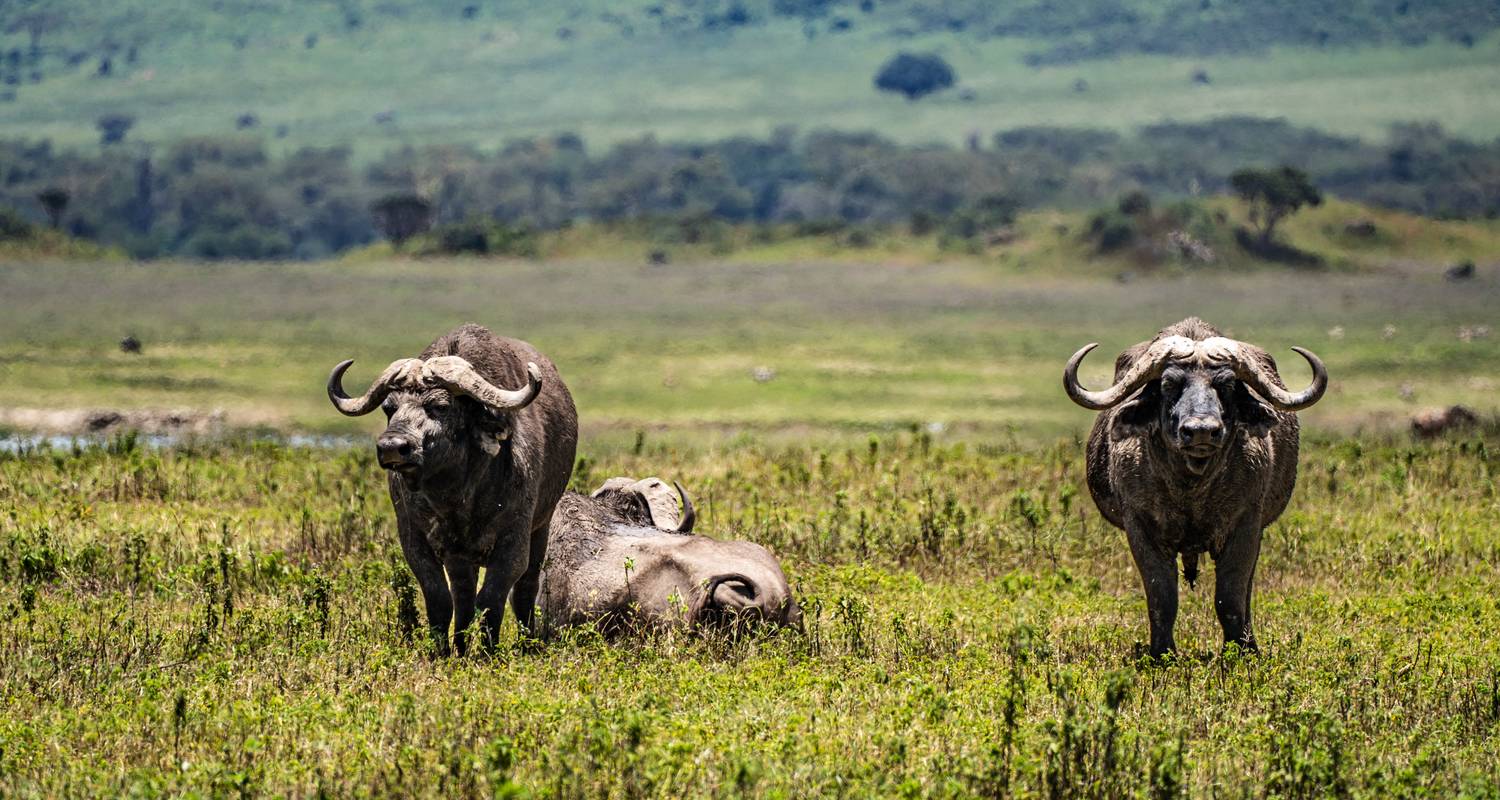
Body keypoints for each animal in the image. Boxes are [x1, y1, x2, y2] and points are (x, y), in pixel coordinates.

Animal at [325, 321, 576, 651]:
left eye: (440, 406)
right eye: (389, 408)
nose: (392, 447)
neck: (457, 495)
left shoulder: (514, 540)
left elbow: (492, 599)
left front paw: (489, 651)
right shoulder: (415, 539)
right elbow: (440, 598)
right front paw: (442, 651)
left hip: (541, 527)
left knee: (525, 587)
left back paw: (527, 642)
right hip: (460, 556)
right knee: (463, 594)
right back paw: (460, 644)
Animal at [1062, 315, 1332, 657]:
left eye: (1227, 385)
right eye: (1168, 384)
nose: (1201, 431)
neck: (1192, 487)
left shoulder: (1246, 525)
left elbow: (1230, 596)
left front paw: (1240, 651)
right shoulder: (1140, 527)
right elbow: (1162, 596)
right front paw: (1162, 654)